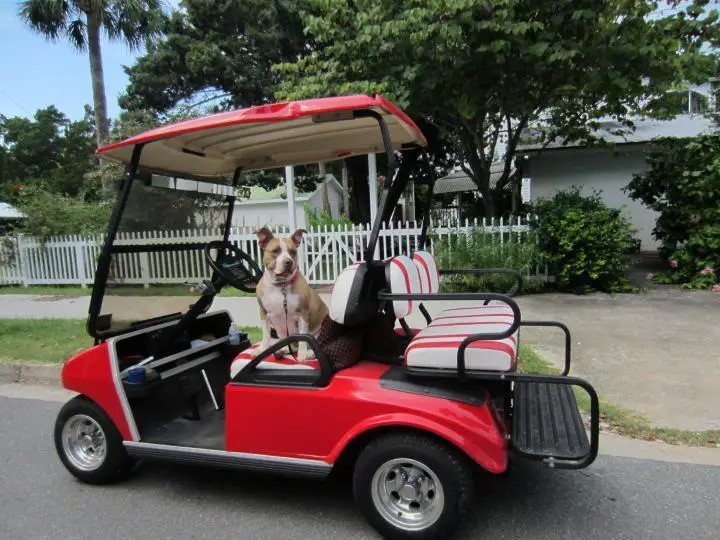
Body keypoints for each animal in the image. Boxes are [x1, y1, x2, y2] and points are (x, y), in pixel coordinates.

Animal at [256, 226, 330, 360]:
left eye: (292, 252)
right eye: (275, 251)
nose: (288, 261)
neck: (281, 286)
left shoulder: (303, 314)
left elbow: (303, 338)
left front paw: (302, 355)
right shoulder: (264, 313)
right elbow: (266, 335)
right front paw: (262, 349)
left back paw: (309, 353)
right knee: (291, 346)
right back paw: (281, 350)